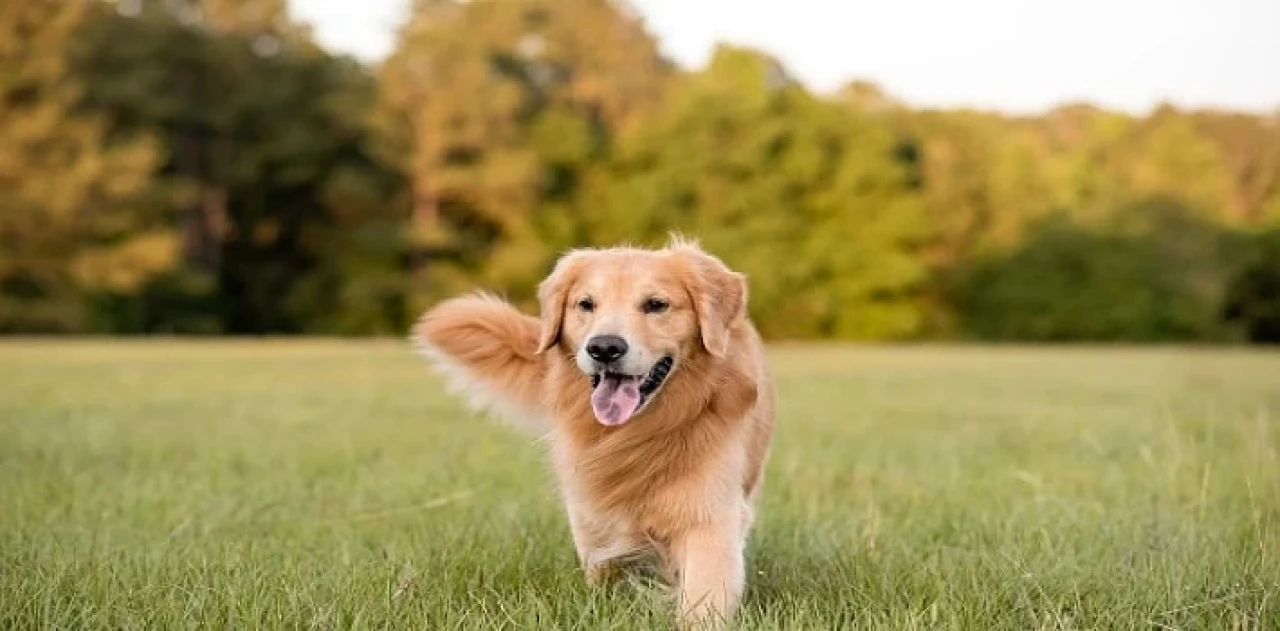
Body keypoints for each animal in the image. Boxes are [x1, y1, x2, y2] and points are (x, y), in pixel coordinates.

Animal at [412, 235, 768, 624]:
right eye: (586, 304)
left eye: (656, 305)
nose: (604, 348)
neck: (638, 436)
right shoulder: (590, 506)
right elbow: (603, 565)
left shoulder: (710, 514)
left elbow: (704, 595)